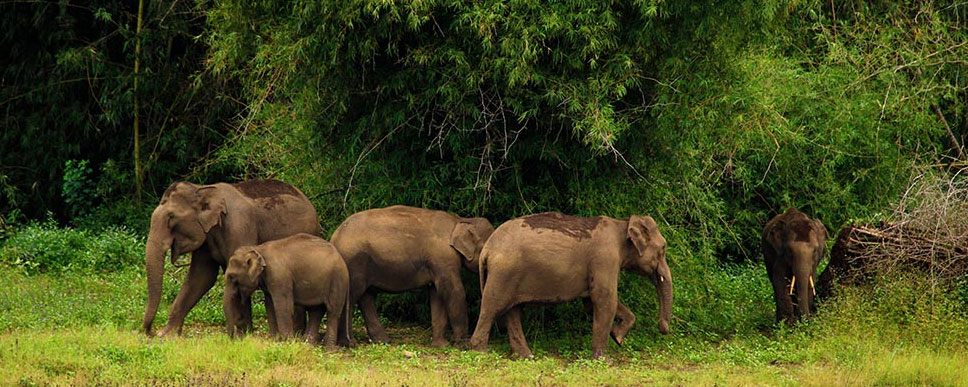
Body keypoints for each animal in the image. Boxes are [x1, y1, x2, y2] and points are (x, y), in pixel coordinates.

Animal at [142, 179, 320, 336]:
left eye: (171, 217)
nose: (151, 332)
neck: (201, 188)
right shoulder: (206, 237)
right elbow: (201, 277)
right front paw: (167, 334)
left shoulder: (239, 227)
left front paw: (243, 336)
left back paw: (298, 334)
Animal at [223, 233, 352, 348]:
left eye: (232, 277)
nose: (233, 338)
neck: (258, 249)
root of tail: (341, 258)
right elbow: (269, 304)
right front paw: (274, 340)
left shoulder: (279, 276)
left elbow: (283, 305)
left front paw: (287, 342)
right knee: (316, 310)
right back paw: (308, 344)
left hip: (337, 280)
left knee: (332, 311)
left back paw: (329, 349)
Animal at [332, 206, 496, 348]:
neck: (460, 220)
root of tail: (335, 236)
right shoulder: (443, 258)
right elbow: (454, 292)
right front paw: (463, 345)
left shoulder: (437, 264)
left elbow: (437, 295)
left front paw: (441, 345)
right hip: (354, 262)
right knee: (352, 297)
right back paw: (349, 343)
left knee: (367, 297)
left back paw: (383, 341)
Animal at [468, 214, 672, 360]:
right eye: (663, 248)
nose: (664, 329)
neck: (622, 224)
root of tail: (487, 248)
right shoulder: (605, 258)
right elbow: (604, 299)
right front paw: (605, 360)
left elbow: (591, 303)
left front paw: (617, 337)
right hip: (503, 274)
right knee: (492, 307)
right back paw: (480, 353)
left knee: (513, 311)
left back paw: (527, 357)